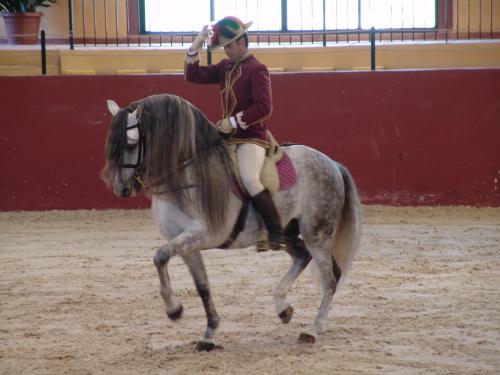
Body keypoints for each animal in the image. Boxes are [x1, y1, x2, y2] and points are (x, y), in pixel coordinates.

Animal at [101, 94, 362, 352]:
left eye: (131, 144)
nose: (121, 188)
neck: (187, 176)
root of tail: (331, 163)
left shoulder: (200, 234)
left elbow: (160, 257)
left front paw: (174, 309)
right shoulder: (187, 245)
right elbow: (201, 286)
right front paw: (208, 334)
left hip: (316, 233)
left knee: (330, 279)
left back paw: (313, 330)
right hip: (291, 231)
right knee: (302, 256)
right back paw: (282, 308)